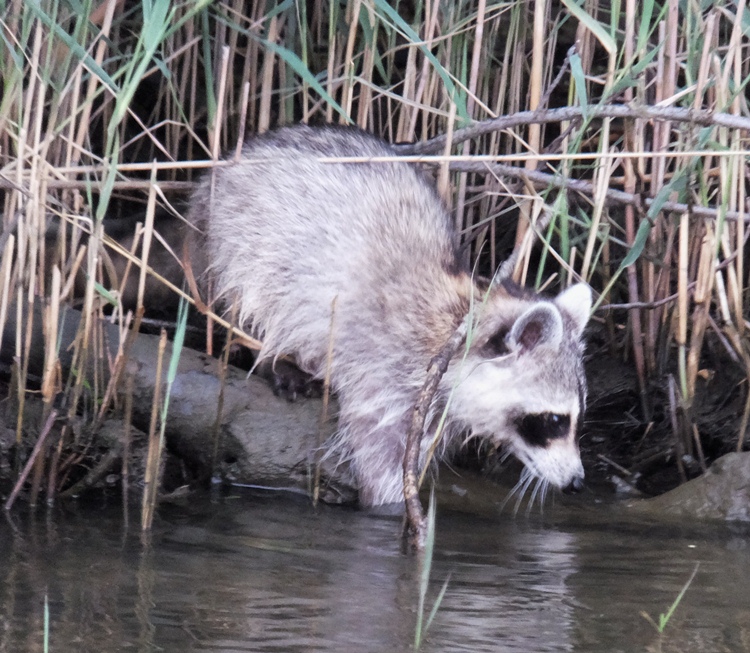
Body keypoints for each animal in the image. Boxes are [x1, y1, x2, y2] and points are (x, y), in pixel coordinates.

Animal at [190, 124, 591, 507]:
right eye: (555, 421)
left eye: (577, 418)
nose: (577, 482)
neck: (460, 316)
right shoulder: (385, 369)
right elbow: (382, 457)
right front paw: (394, 506)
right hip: (241, 238)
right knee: (252, 301)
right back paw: (269, 354)